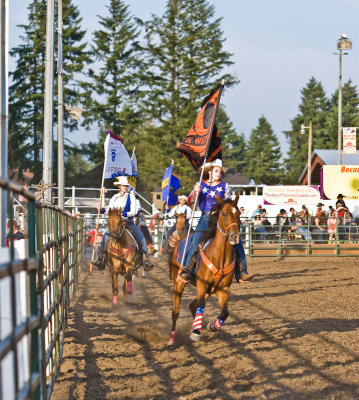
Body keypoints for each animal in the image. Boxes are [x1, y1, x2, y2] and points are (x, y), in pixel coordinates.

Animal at [169, 193, 242, 344]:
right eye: (224, 214)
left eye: (238, 213)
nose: (234, 236)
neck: (218, 257)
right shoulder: (202, 284)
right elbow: (201, 304)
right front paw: (196, 332)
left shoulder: (223, 289)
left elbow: (225, 312)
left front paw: (211, 326)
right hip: (178, 282)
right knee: (176, 311)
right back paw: (172, 337)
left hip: (209, 290)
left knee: (192, 305)